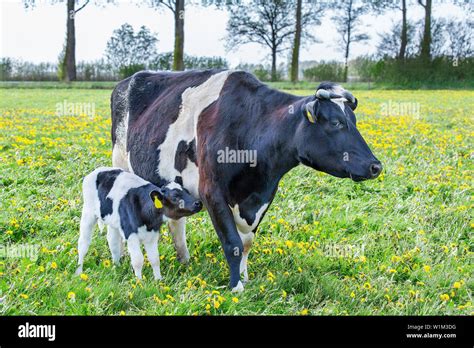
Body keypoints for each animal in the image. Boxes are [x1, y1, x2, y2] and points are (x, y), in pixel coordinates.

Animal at [110, 69, 382, 292]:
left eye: (354, 121)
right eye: (336, 122)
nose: (376, 166)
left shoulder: (264, 195)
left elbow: (247, 242)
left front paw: (245, 277)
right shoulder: (211, 192)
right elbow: (233, 243)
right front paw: (236, 287)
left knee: (177, 222)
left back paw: (184, 259)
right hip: (120, 163)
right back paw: (119, 259)